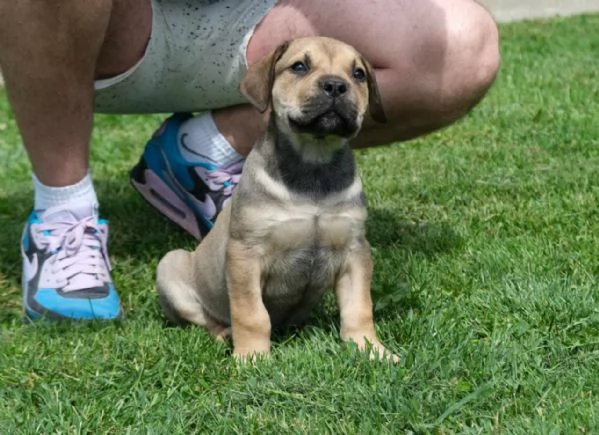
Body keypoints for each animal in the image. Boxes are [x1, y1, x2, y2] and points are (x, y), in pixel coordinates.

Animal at [156, 35, 398, 362]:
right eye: (299, 66)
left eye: (358, 74)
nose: (336, 86)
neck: (313, 165)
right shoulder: (245, 253)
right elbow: (251, 314)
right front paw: (252, 358)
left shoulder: (354, 250)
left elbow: (359, 307)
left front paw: (371, 349)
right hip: (170, 266)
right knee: (206, 320)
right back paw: (225, 334)